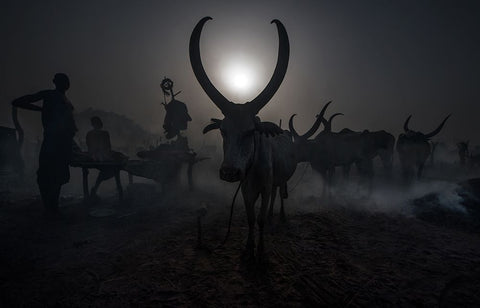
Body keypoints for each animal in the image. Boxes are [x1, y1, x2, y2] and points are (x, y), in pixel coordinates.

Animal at [190, 18, 294, 262]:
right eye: (223, 131)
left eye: (250, 131)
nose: (229, 172)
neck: (253, 166)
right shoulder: (246, 189)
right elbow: (250, 218)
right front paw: (248, 248)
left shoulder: (265, 187)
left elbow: (261, 219)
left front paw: (261, 250)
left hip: (279, 181)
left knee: (279, 196)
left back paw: (280, 216)